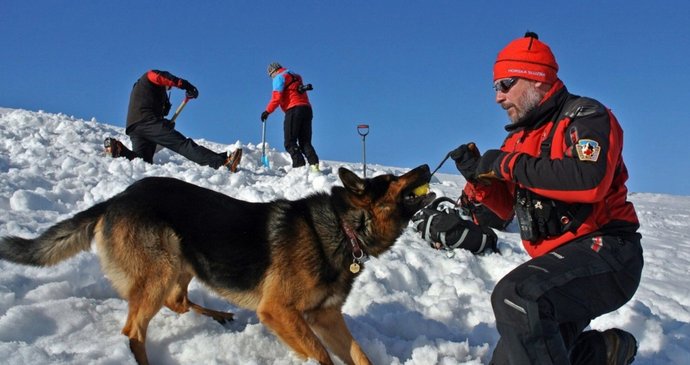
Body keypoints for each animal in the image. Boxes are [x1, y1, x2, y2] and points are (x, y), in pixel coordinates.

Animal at [0, 166, 430, 364]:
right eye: (391, 178)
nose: (427, 167)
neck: (345, 228)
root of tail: (116, 198)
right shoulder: (279, 311)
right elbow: (322, 355)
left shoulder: (326, 317)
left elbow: (359, 355)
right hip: (162, 267)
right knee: (133, 329)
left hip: (183, 262)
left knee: (176, 302)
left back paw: (219, 315)